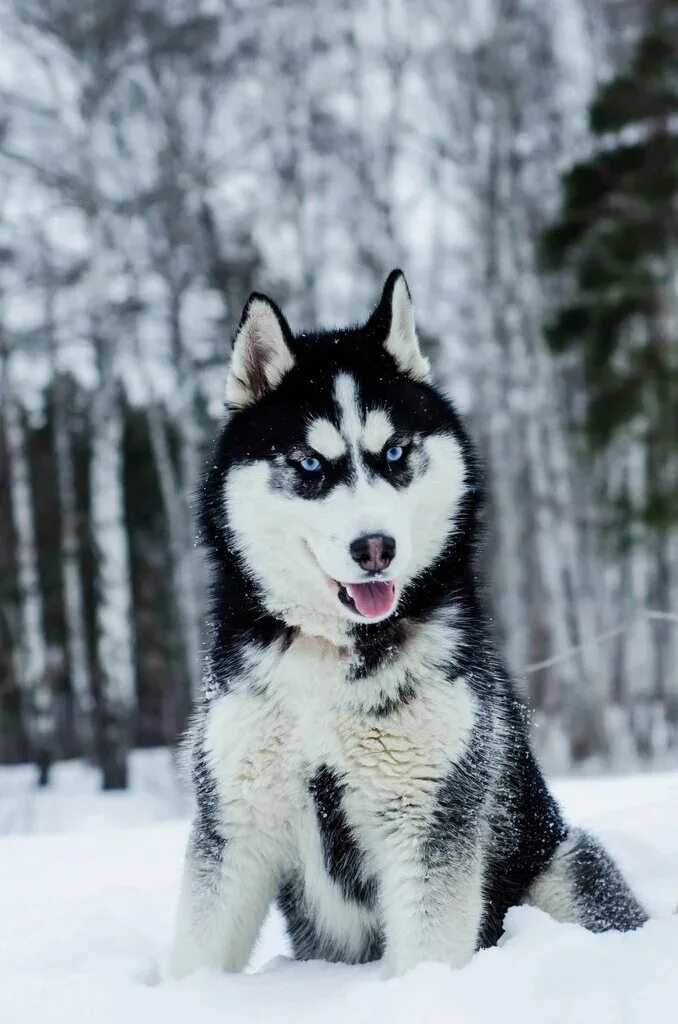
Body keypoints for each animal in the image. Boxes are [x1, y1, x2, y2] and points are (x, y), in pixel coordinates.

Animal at [171, 270, 647, 974]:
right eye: (310, 465)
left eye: (394, 452)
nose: (375, 547)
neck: (332, 657)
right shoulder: (235, 817)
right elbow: (199, 947)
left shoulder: (431, 818)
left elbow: (427, 951)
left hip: (562, 865)